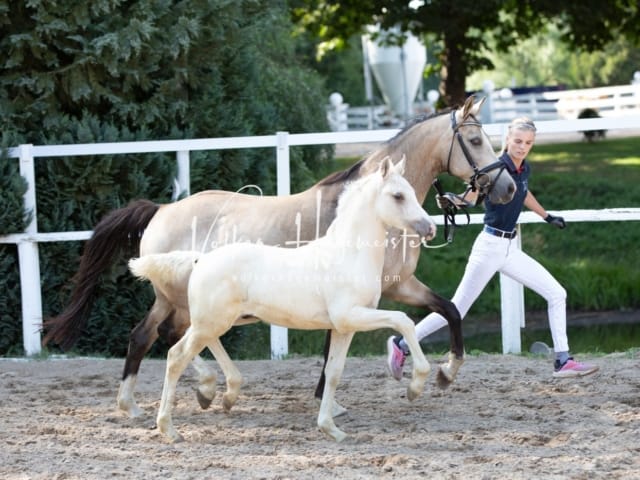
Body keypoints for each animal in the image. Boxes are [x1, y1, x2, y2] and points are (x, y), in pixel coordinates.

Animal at [131, 158, 440, 442]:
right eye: (398, 196)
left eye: (412, 192)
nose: (430, 228)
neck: (348, 254)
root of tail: (200, 259)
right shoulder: (351, 315)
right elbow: (403, 321)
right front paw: (415, 387)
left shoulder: (344, 327)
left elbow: (334, 372)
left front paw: (331, 429)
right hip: (209, 322)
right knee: (176, 356)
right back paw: (169, 428)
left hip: (214, 321)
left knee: (192, 347)